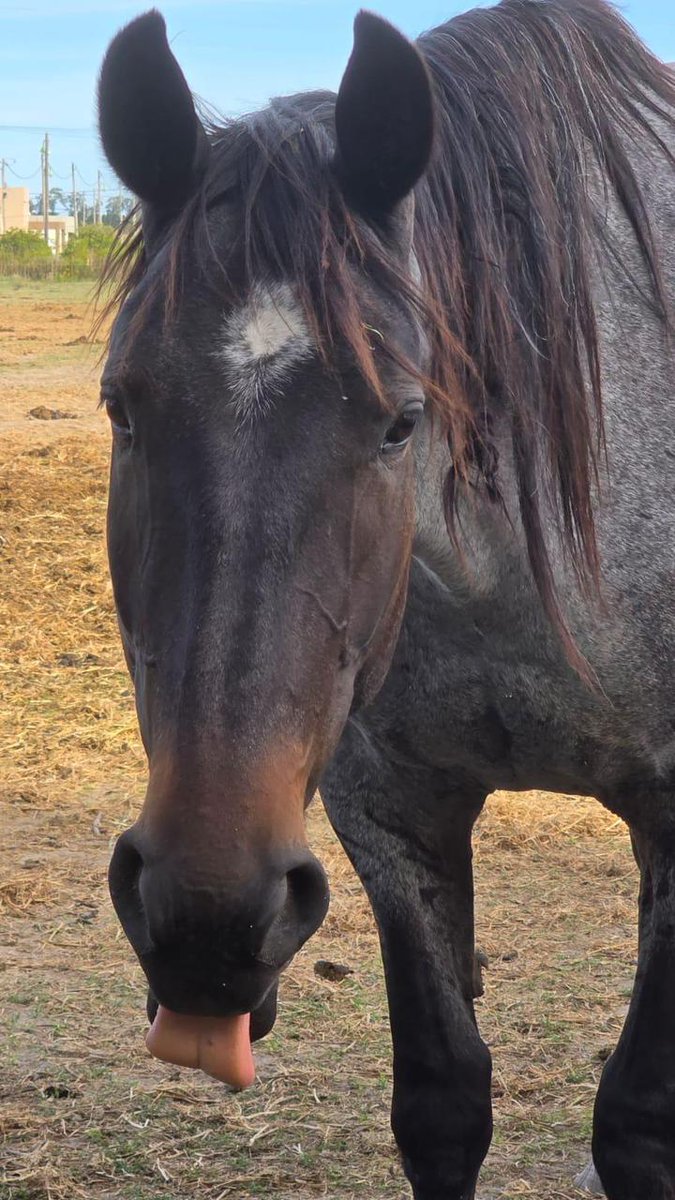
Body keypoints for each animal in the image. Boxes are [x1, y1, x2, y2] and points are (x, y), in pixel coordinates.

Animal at [96, 2, 675, 1196]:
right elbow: (442, 1101)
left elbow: (638, 1117)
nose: (205, 914)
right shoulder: (390, 813)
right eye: (122, 405)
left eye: (403, 421)